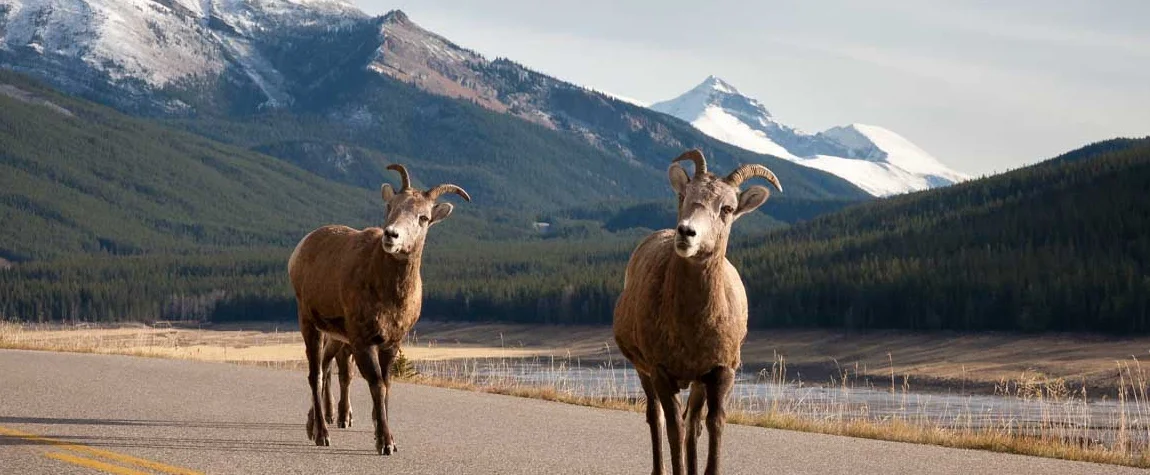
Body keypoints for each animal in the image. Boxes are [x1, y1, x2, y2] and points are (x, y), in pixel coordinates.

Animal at [289, 164, 469, 453]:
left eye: (423, 217)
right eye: (390, 206)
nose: (391, 235)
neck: (389, 296)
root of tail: (299, 250)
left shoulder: (391, 343)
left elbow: (387, 385)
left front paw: (382, 436)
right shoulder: (363, 341)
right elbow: (376, 385)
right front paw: (386, 443)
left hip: (334, 336)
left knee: (325, 370)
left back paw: (313, 425)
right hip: (309, 324)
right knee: (315, 375)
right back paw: (322, 434)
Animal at [611, 149, 782, 473]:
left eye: (727, 208)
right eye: (685, 196)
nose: (686, 232)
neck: (692, 327)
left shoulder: (720, 372)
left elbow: (712, 426)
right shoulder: (660, 372)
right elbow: (673, 429)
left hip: (698, 383)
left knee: (693, 424)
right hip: (643, 371)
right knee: (656, 418)